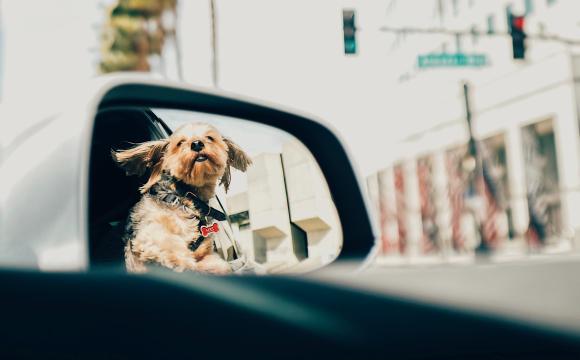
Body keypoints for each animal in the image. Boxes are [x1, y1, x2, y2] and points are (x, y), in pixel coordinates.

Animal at [112, 122, 250, 274]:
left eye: (210, 137)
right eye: (180, 142)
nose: (197, 144)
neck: (186, 196)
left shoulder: (204, 252)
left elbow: (219, 265)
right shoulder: (150, 233)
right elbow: (173, 249)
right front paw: (185, 265)